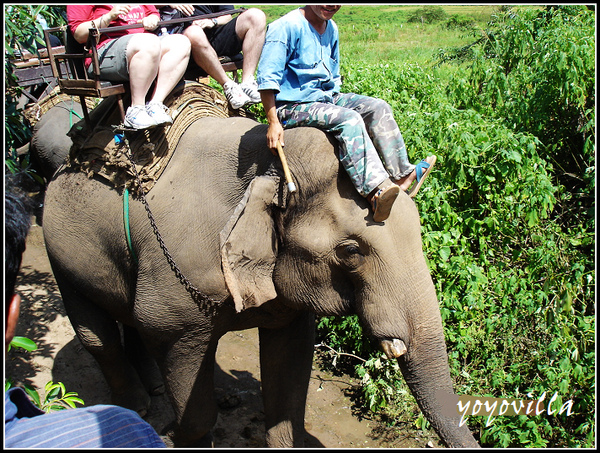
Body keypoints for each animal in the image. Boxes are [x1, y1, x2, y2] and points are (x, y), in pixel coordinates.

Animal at [38, 111, 478, 446]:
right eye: (351, 252)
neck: (267, 169)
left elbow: (289, 382)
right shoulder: (174, 294)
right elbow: (184, 380)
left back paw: (155, 391)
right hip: (60, 251)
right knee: (97, 336)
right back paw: (138, 406)